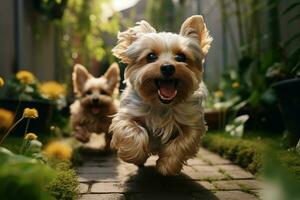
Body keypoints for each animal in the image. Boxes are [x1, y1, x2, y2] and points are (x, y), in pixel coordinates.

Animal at [109, 15, 212, 175]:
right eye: (151, 56)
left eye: (181, 57)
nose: (168, 67)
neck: (161, 105)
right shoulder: (127, 115)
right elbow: (133, 130)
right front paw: (135, 156)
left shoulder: (192, 122)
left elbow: (183, 142)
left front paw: (167, 166)